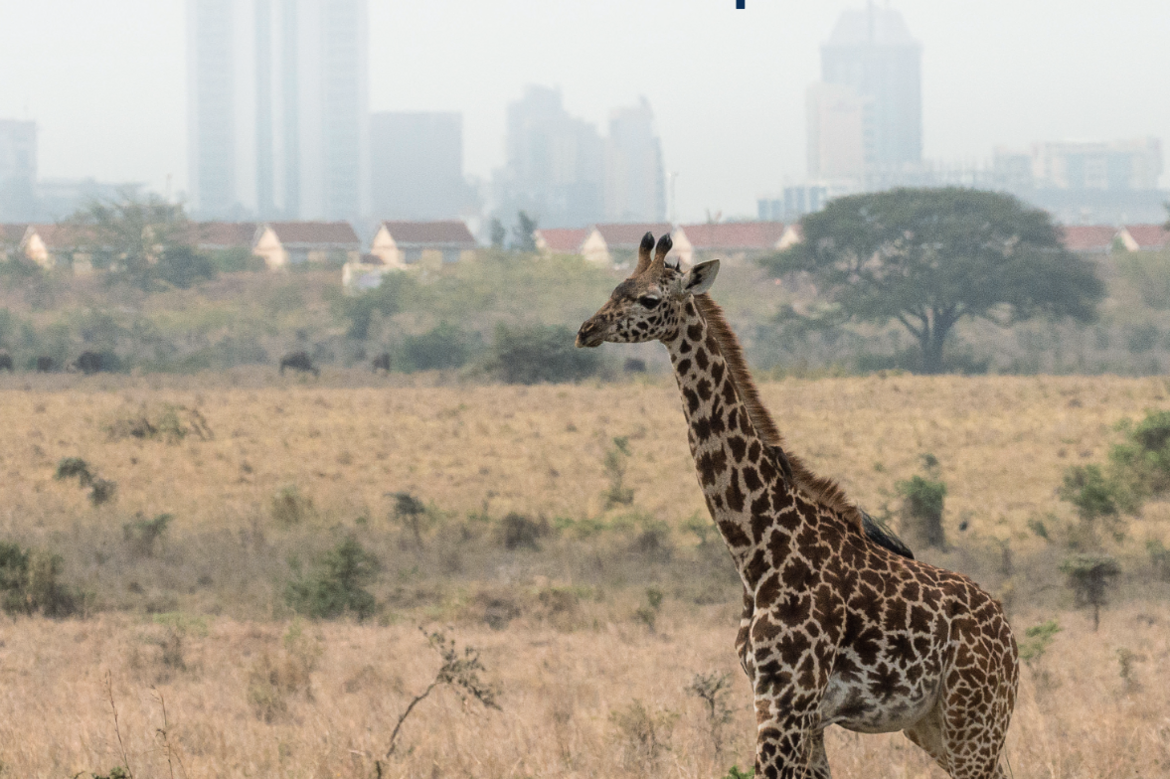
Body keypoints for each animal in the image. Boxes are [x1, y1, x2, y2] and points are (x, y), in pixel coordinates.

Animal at [575, 233, 1015, 776]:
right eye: (615, 288)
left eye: (650, 299)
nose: (586, 330)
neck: (755, 550)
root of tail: (1010, 636)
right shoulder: (796, 711)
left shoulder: (785, 703)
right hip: (934, 726)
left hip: (975, 718)